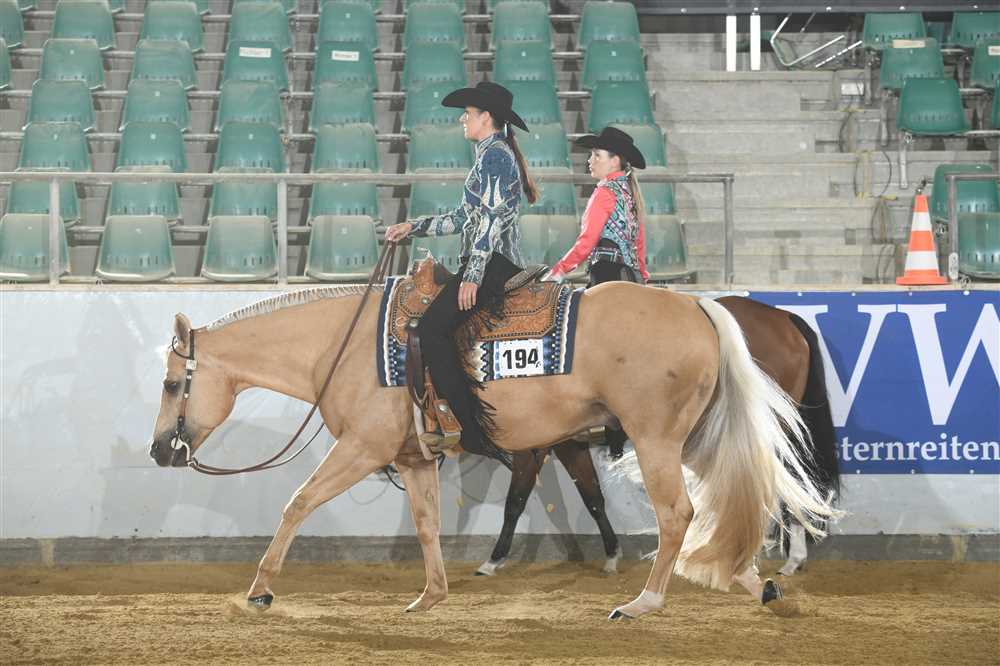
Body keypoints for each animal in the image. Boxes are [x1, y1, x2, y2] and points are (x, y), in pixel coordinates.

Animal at [475, 296, 841, 583]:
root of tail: (785, 319)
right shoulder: (569, 442)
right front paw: (612, 554)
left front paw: (493, 560)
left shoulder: (535, 445)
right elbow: (591, 496)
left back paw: (787, 557)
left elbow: (515, 501)